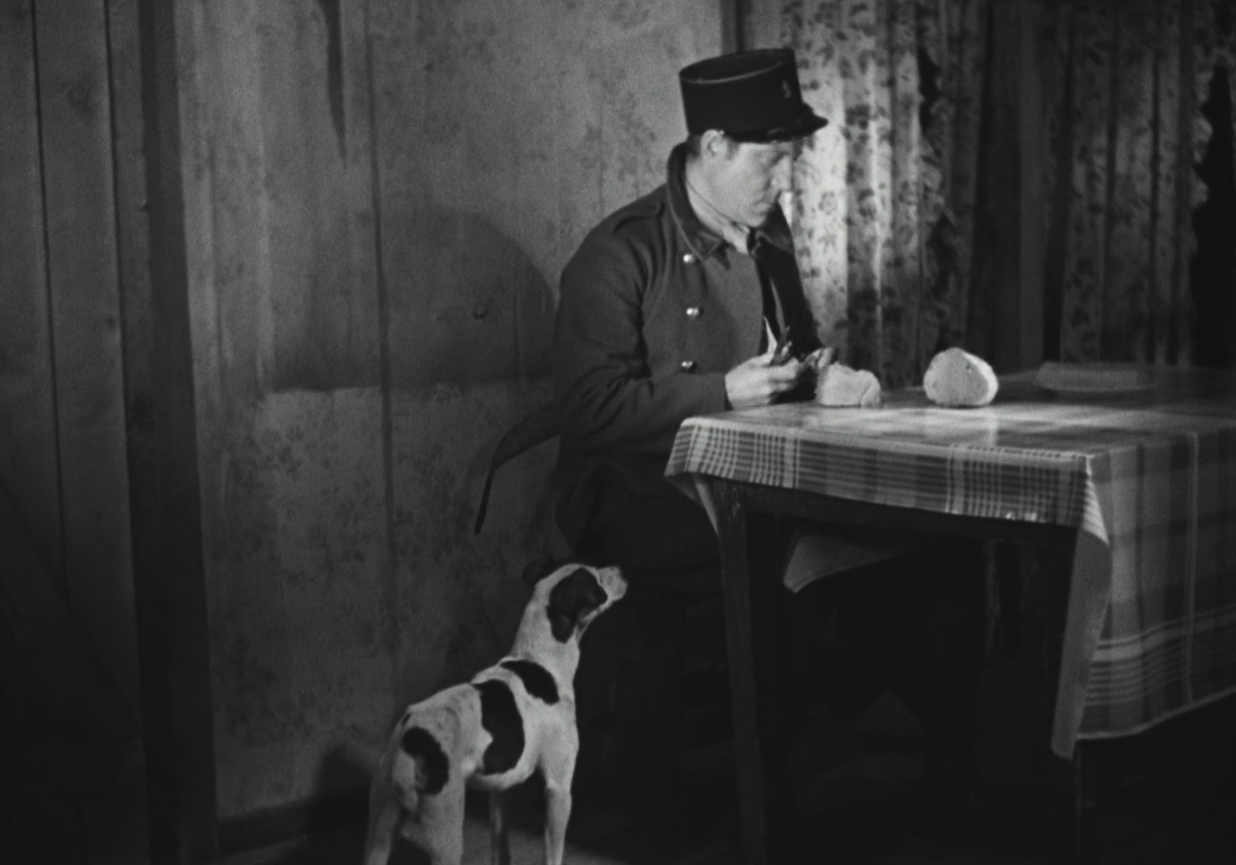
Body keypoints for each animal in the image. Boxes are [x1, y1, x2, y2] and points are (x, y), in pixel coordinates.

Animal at [362, 561, 627, 865]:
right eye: (597, 577)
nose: (620, 569)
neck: (540, 660)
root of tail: (409, 741)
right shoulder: (558, 788)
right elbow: (553, 852)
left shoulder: (501, 791)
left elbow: (501, 848)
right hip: (445, 826)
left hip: (381, 829)